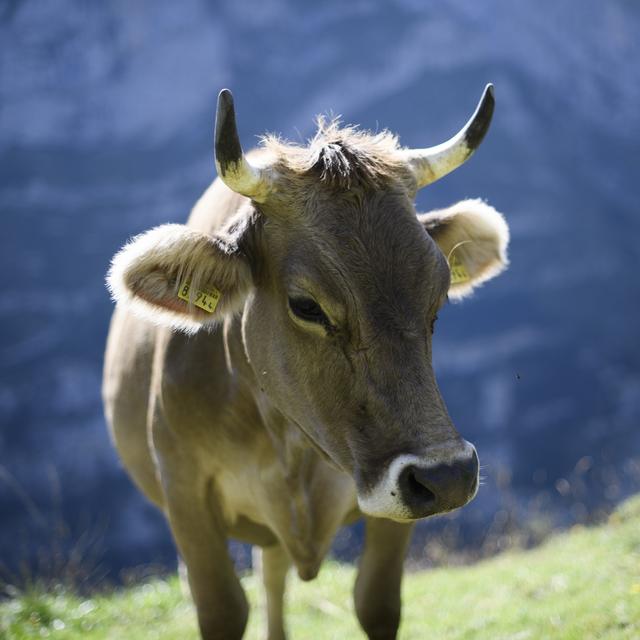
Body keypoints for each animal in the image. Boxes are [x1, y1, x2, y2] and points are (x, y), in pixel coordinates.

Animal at [101, 86, 510, 640]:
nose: (447, 476)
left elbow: (377, 603)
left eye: (439, 293)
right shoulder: (185, 496)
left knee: (273, 573)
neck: (287, 439)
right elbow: (222, 609)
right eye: (306, 306)